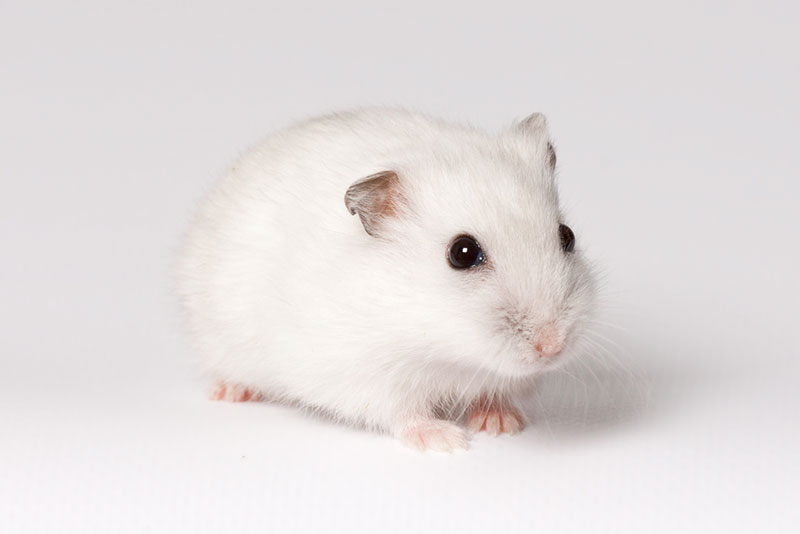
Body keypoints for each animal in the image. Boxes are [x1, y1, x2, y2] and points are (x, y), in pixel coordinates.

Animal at [176, 108, 596, 451]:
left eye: (568, 236)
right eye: (462, 253)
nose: (552, 347)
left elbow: (493, 394)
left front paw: (502, 424)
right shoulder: (366, 375)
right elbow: (402, 412)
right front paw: (446, 441)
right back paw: (231, 392)